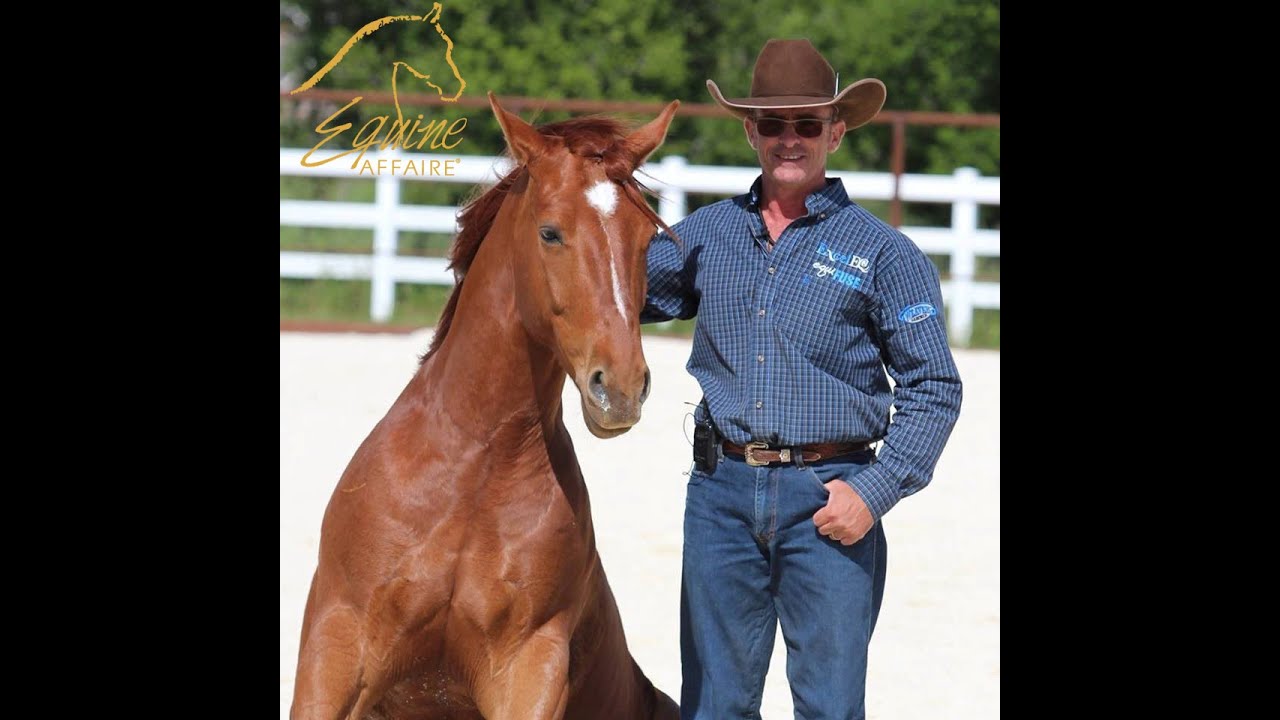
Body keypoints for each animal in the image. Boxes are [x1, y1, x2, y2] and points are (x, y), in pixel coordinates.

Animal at [290, 92, 681, 720]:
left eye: (646, 239)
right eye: (550, 233)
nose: (619, 388)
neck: (475, 468)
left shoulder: (529, 666)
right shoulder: (337, 646)